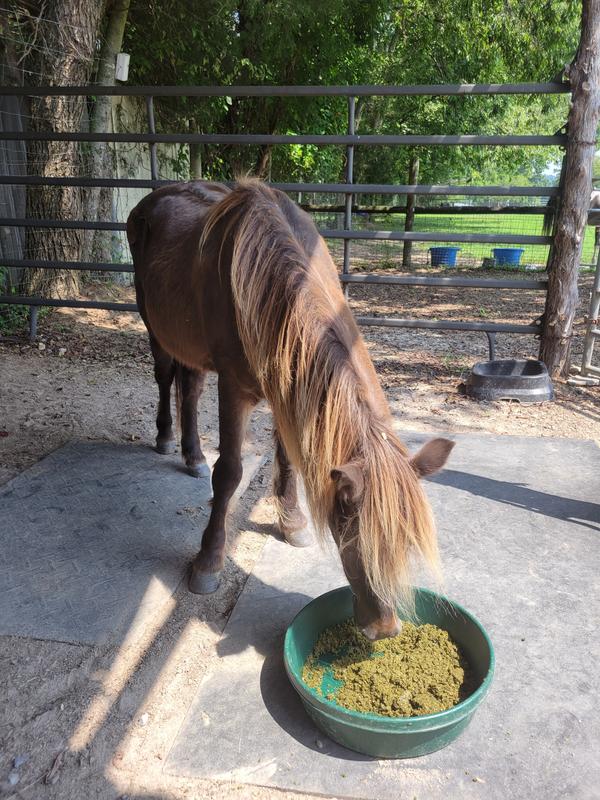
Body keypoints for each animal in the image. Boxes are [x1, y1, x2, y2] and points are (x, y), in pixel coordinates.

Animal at [127, 179, 454, 640]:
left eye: (407, 542)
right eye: (354, 539)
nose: (384, 628)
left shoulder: (286, 384)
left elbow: (288, 460)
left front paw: (293, 522)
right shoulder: (234, 389)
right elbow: (229, 474)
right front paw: (208, 562)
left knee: (189, 387)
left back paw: (192, 454)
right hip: (154, 325)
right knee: (165, 377)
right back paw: (166, 437)